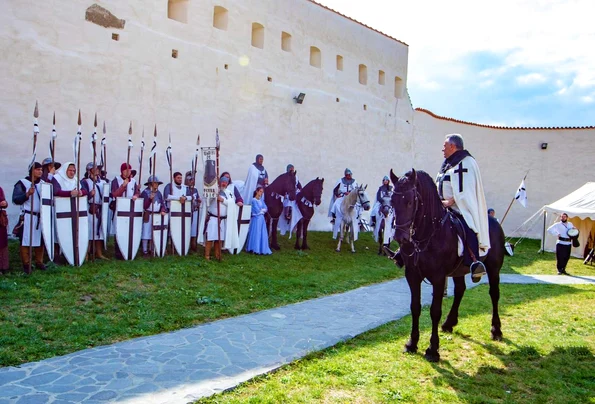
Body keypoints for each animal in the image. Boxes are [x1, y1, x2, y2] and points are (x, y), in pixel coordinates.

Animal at [388, 169, 506, 362]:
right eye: (391, 202)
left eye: (410, 201)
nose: (401, 238)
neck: (429, 233)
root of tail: (494, 221)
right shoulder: (412, 276)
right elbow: (415, 308)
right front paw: (412, 343)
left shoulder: (438, 278)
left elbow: (435, 311)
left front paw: (433, 349)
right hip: (458, 271)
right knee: (460, 290)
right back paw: (450, 323)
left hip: (494, 268)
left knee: (494, 294)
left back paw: (496, 330)